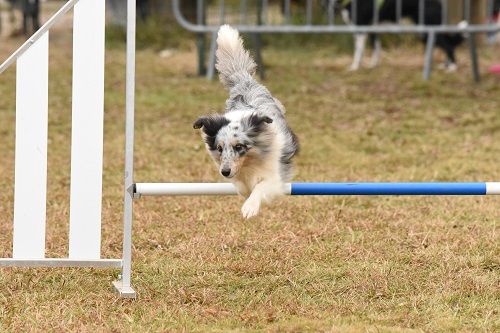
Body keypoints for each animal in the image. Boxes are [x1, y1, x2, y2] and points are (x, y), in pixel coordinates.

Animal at [193, 25, 298, 218]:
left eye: (239, 147)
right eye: (219, 148)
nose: (224, 172)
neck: (250, 162)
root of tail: (244, 81)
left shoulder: (275, 172)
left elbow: (262, 186)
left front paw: (250, 207)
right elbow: (242, 187)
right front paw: (245, 193)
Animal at [338, 0, 466, 70]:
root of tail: (439, 3)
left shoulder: (361, 29)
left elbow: (358, 51)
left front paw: (355, 67)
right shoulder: (373, 30)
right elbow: (376, 50)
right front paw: (373, 65)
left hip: (428, 29)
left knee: (448, 46)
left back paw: (452, 68)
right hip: (426, 33)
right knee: (447, 44)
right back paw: (445, 66)